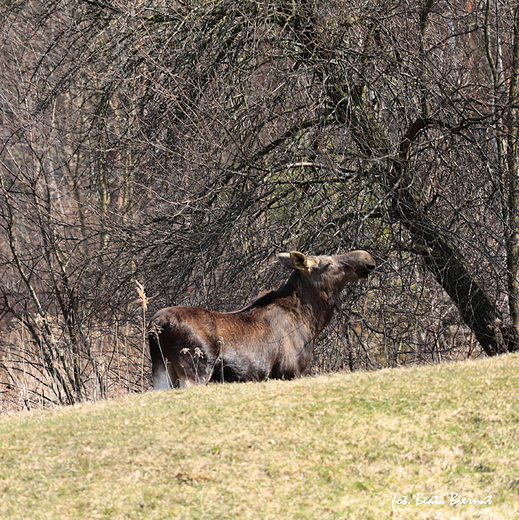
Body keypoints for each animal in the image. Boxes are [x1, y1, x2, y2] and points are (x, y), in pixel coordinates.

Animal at [148, 250, 376, 388]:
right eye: (327, 263)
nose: (367, 259)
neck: (311, 321)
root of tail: (156, 325)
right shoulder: (289, 372)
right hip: (195, 371)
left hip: (162, 370)